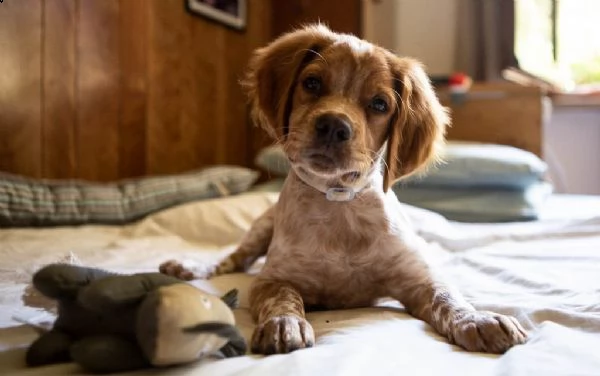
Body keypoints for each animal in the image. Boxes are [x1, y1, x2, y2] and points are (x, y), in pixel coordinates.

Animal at [162, 24, 528, 356]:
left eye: (380, 104)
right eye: (311, 83)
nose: (333, 125)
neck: (339, 202)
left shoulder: (417, 279)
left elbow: (447, 296)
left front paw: (478, 319)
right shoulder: (272, 279)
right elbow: (284, 297)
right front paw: (284, 324)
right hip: (261, 227)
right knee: (233, 258)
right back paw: (190, 267)